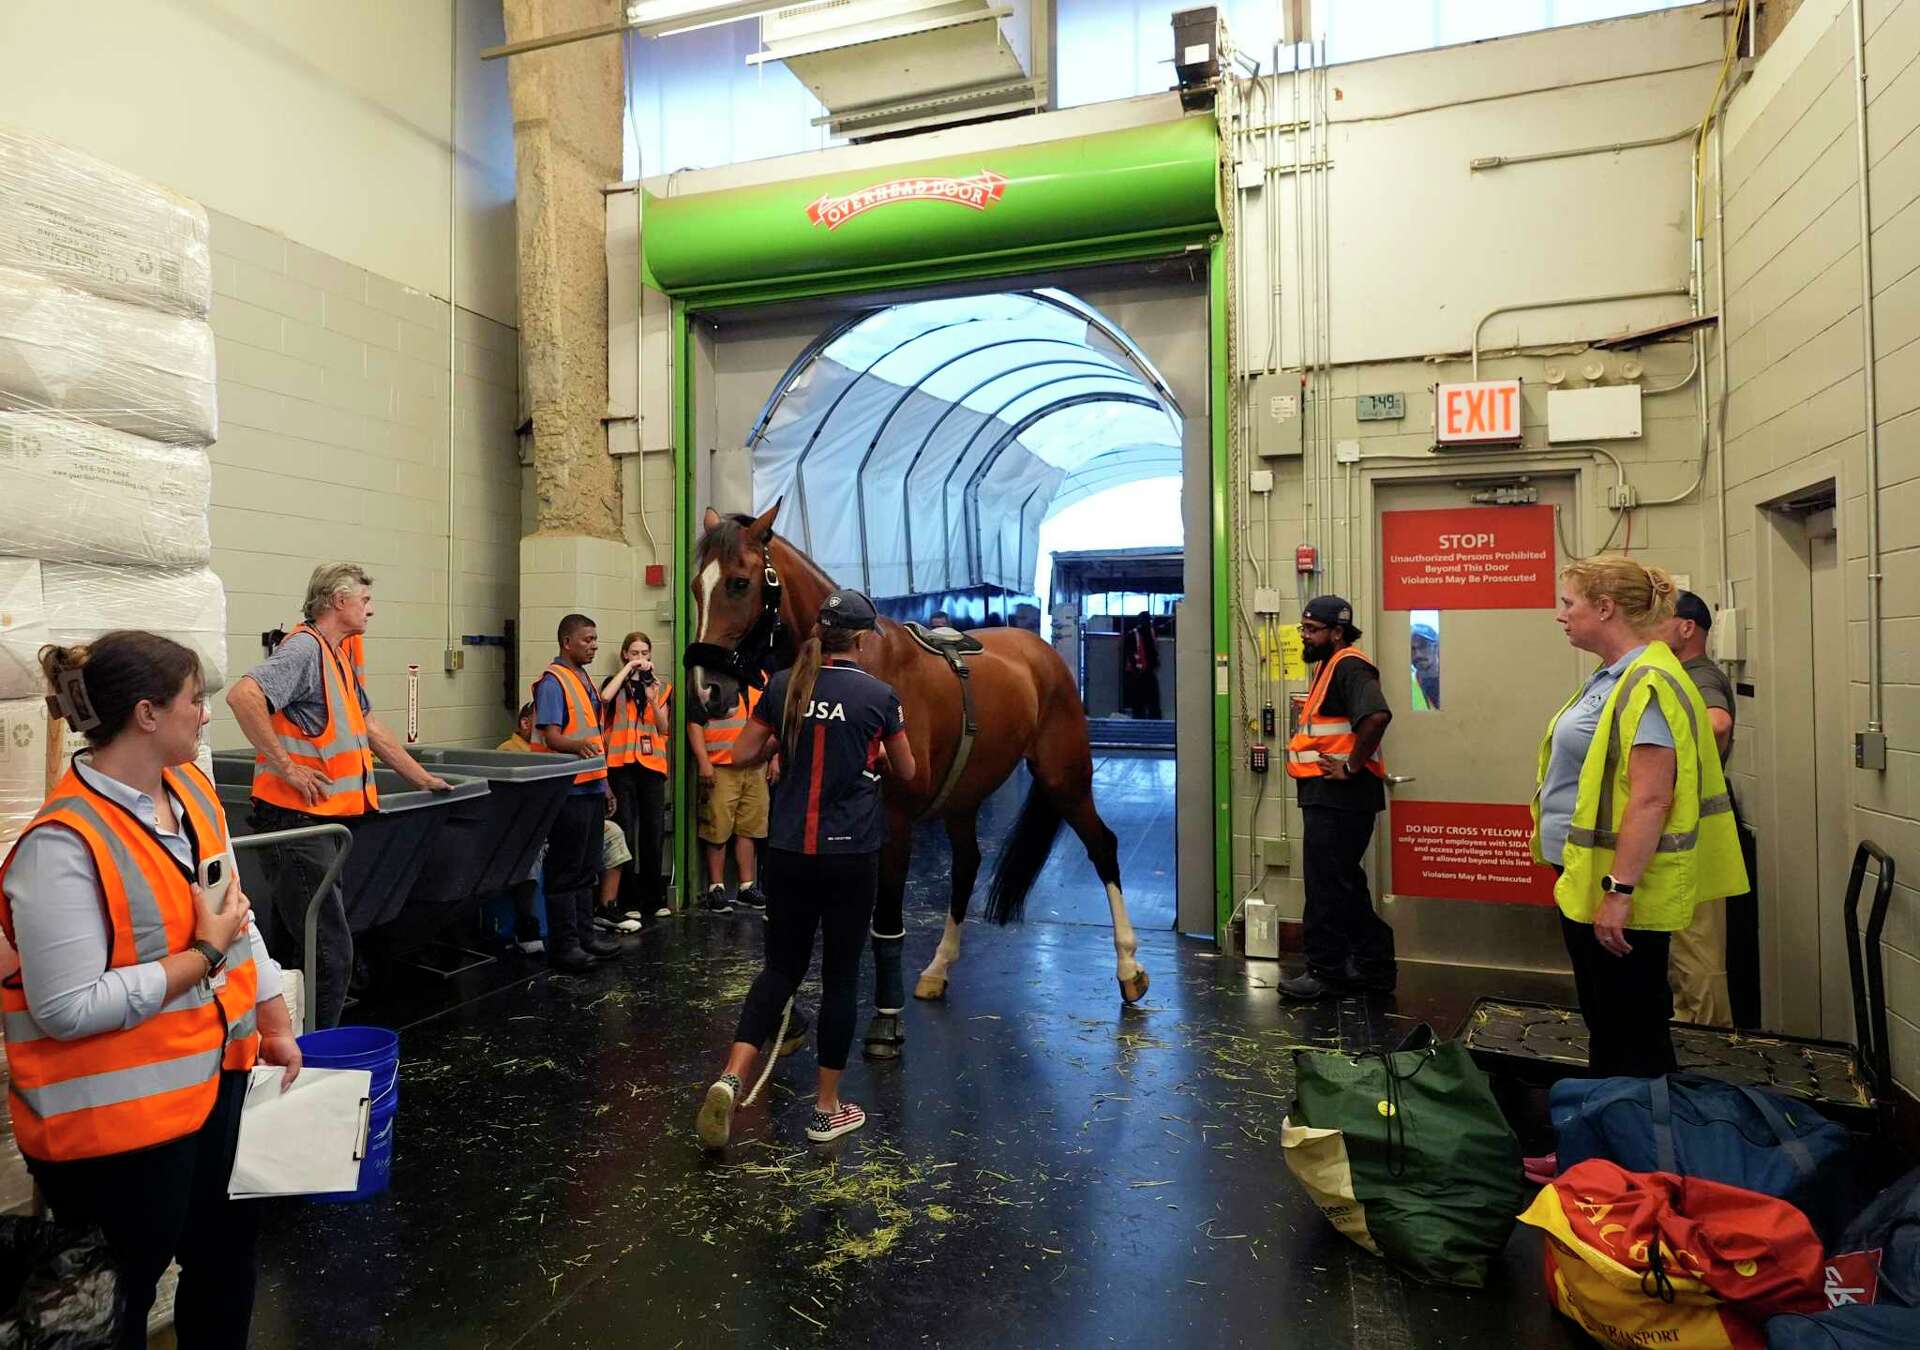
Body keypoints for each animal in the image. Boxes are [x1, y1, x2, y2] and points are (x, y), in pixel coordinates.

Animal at [687, 506, 1144, 1060]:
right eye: (696, 586)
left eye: (740, 582)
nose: (707, 692)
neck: (848, 666)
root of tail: (1041, 654)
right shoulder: (790, 825)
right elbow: (785, 918)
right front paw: (786, 1020)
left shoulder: (894, 825)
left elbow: (885, 924)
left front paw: (885, 1023)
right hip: (964, 799)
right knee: (967, 865)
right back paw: (938, 968)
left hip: (1065, 779)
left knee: (1103, 847)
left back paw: (1129, 969)